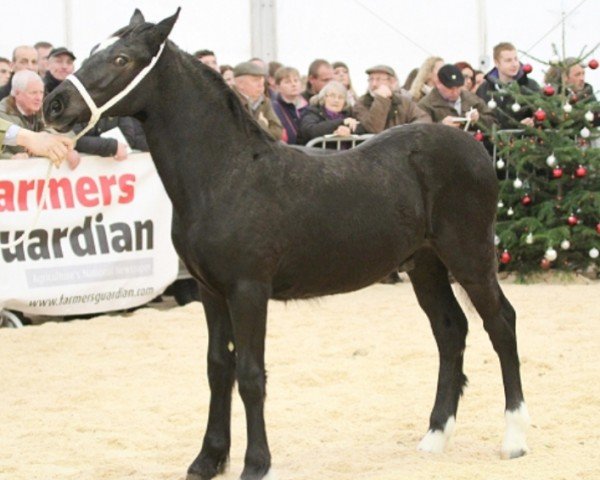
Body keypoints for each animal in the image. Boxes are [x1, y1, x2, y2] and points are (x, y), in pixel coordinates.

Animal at [43, 10, 528, 480]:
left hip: (470, 258)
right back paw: (435, 436)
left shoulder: (248, 290)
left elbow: (250, 374)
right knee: (450, 331)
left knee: (501, 324)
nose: (54, 104)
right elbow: (217, 367)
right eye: (92, 50)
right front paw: (207, 460)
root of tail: (474, 143)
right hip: (424, 265)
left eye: (122, 58)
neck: (226, 174)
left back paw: (513, 440)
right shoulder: (210, 291)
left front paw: (256, 464)